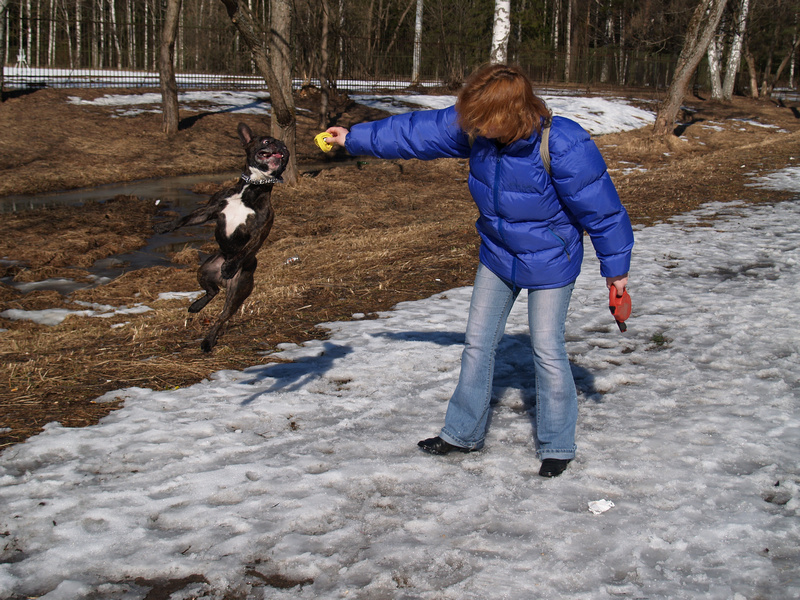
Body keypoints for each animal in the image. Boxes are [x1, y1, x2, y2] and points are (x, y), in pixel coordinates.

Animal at [155, 124, 290, 354]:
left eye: (285, 149)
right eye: (266, 141)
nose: (281, 144)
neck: (251, 188)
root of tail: (223, 282)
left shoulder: (260, 230)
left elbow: (246, 248)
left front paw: (231, 266)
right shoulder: (209, 210)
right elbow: (185, 218)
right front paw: (166, 226)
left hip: (237, 292)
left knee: (221, 316)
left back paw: (208, 340)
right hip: (204, 270)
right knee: (212, 291)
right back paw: (196, 305)